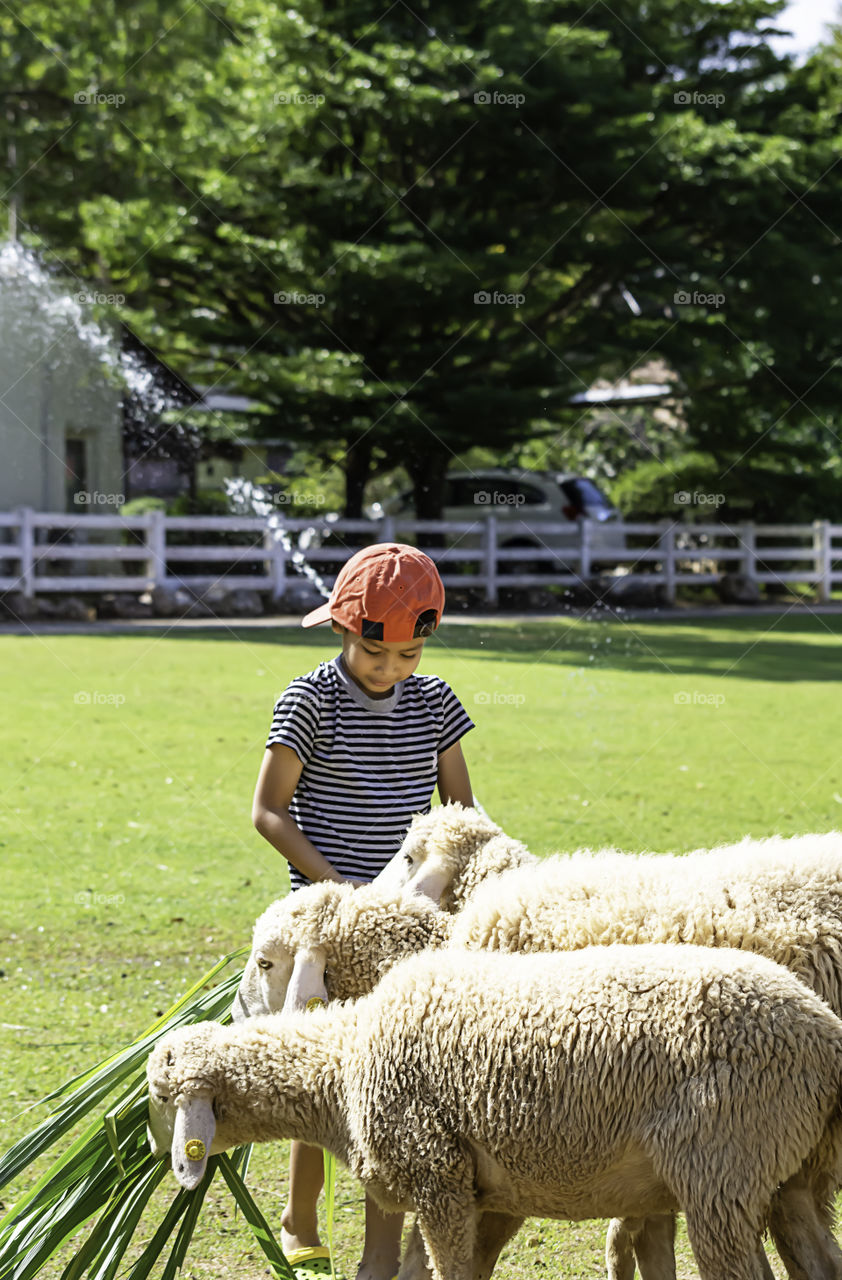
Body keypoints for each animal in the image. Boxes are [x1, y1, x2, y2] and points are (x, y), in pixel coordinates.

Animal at [150, 947, 842, 1280]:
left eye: (159, 1096)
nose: (150, 1151)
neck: (341, 1064)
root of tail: (822, 1032)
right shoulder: (486, 1191)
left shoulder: (437, 1175)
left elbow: (449, 1272)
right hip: (785, 1173)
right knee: (820, 1263)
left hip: (721, 1168)